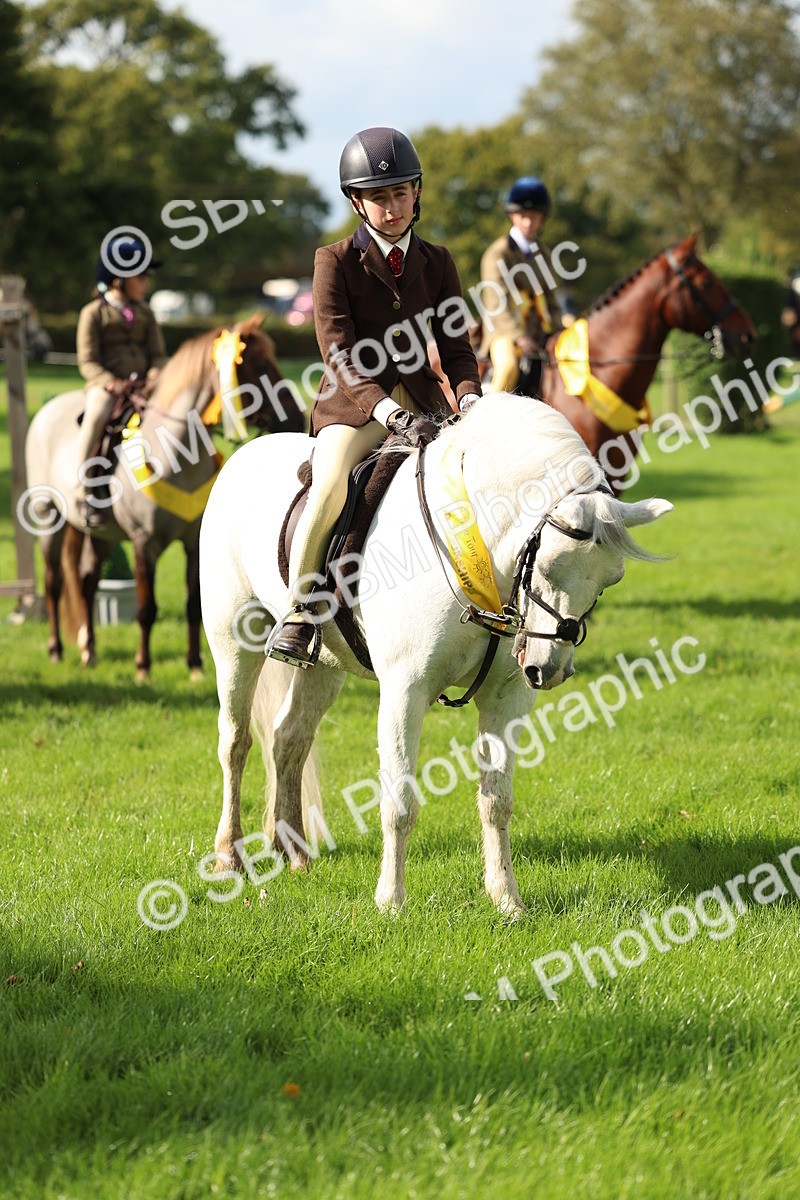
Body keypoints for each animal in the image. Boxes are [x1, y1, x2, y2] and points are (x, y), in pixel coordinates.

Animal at [25, 314, 305, 680]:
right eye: (258, 364)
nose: (297, 417)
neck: (177, 454)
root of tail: (48, 411)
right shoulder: (144, 543)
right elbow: (146, 608)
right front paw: (143, 667)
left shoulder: (192, 544)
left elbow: (192, 606)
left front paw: (195, 665)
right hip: (49, 519)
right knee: (54, 582)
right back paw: (56, 650)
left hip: (101, 535)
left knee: (86, 582)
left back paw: (90, 652)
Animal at [199, 393, 672, 915]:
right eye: (546, 564)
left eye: (611, 580)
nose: (548, 670)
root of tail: (242, 455)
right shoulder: (404, 691)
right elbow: (399, 801)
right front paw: (391, 902)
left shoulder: (506, 697)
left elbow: (496, 800)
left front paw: (506, 899)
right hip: (232, 642)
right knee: (235, 742)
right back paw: (228, 857)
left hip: (325, 667)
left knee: (289, 738)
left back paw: (295, 853)